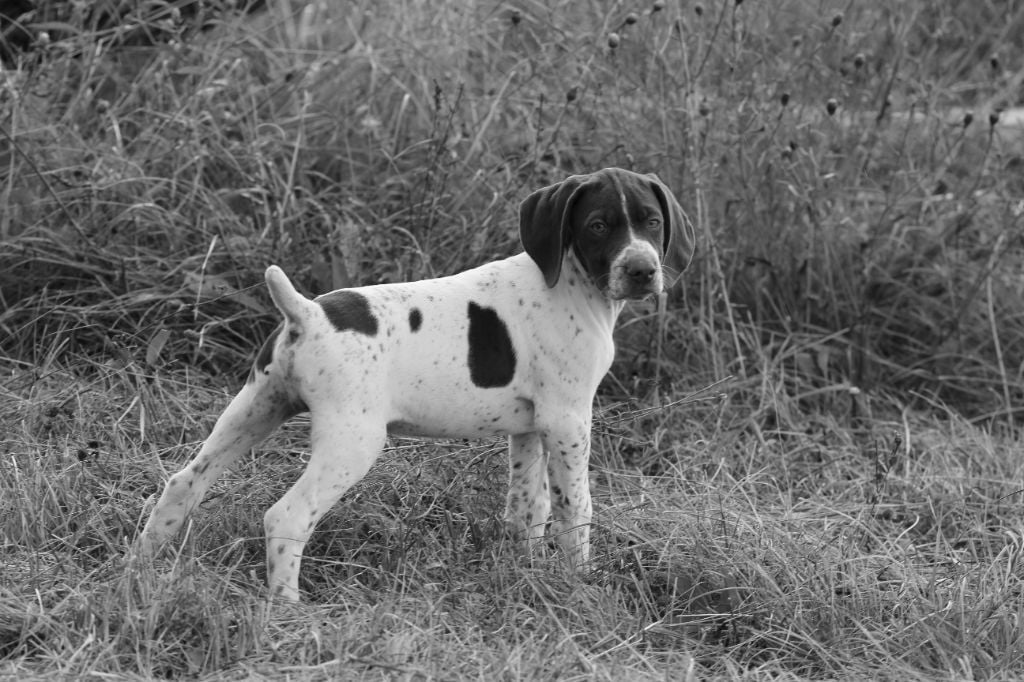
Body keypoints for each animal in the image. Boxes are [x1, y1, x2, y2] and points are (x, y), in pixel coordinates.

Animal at [136, 166, 696, 598]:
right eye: (599, 225)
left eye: (651, 222)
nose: (643, 271)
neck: (573, 283)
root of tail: (307, 314)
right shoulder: (567, 420)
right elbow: (574, 510)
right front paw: (580, 582)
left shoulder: (529, 428)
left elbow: (527, 509)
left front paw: (525, 573)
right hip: (352, 441)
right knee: (287, 517)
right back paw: (286, 608)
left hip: (255, 409)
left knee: (183, 482)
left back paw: (139, 570)